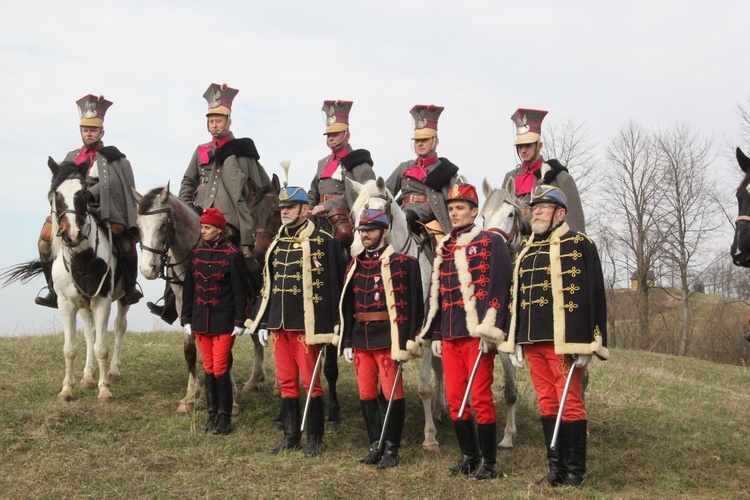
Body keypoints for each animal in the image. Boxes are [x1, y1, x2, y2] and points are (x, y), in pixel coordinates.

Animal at [47, 158, 129, 400]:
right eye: (57, 194)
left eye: (83, 193)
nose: (72, 234)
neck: (82, 258)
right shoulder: (67, 303)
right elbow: (71, 348)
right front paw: (67, 389)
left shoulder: (102, 300)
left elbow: (102, 348)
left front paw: (104, 391)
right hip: (84, 304)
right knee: (90, 335)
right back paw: (88, 376)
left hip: (124, 298)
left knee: (120, 327)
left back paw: (112, 372)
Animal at [348, 179, 446, 450]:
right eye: (354, 213)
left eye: (378, 211)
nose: (355, 249)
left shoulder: (420, 336)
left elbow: (424, 387)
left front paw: (430, 438)